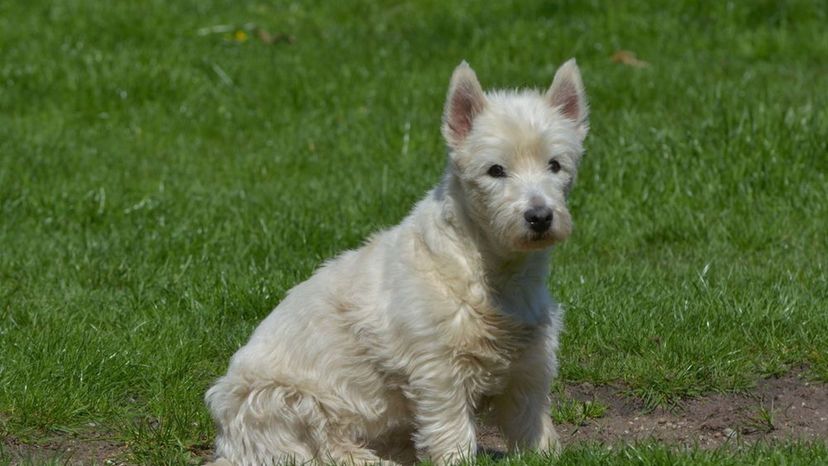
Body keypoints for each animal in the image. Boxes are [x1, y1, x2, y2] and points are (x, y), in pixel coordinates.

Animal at [206, 59, 588, 466]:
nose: (540, 217)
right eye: (495, 170)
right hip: (280, 399)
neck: (494, 271)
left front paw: (547, 453)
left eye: (555, 165)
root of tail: (226, 444)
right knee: (323, 447)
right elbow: (452, 431)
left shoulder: (529, 364)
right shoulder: (438, 370)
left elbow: (530, 420)